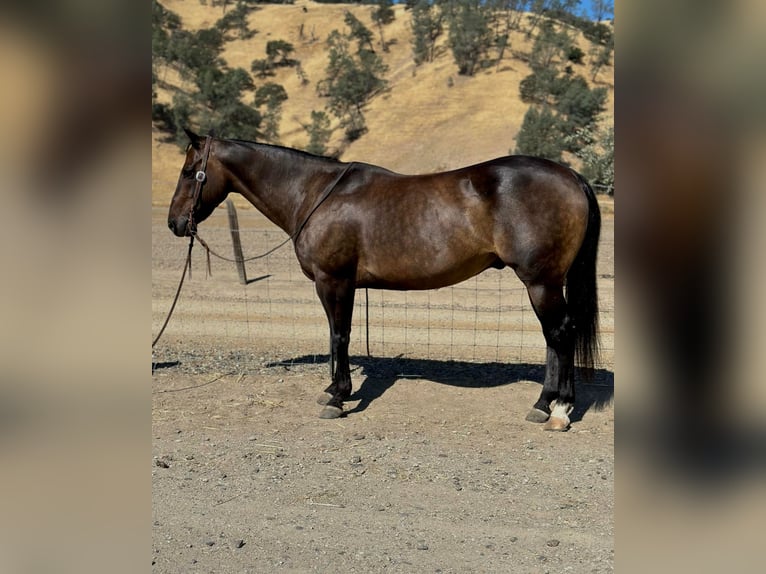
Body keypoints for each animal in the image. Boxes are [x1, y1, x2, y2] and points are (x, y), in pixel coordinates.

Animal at [166, 128, 600, 430]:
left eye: (189, 172)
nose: (174, 224)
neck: (314, 194)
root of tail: (571, 176)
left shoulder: (333, 280)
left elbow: (339, 335)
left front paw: (337, 398)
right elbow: (337, 335)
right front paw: (333, 389)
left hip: (541, 282)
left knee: (560, 334)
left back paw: (559, 410)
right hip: (545, 283)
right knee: (554, 337)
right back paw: (543, 405)